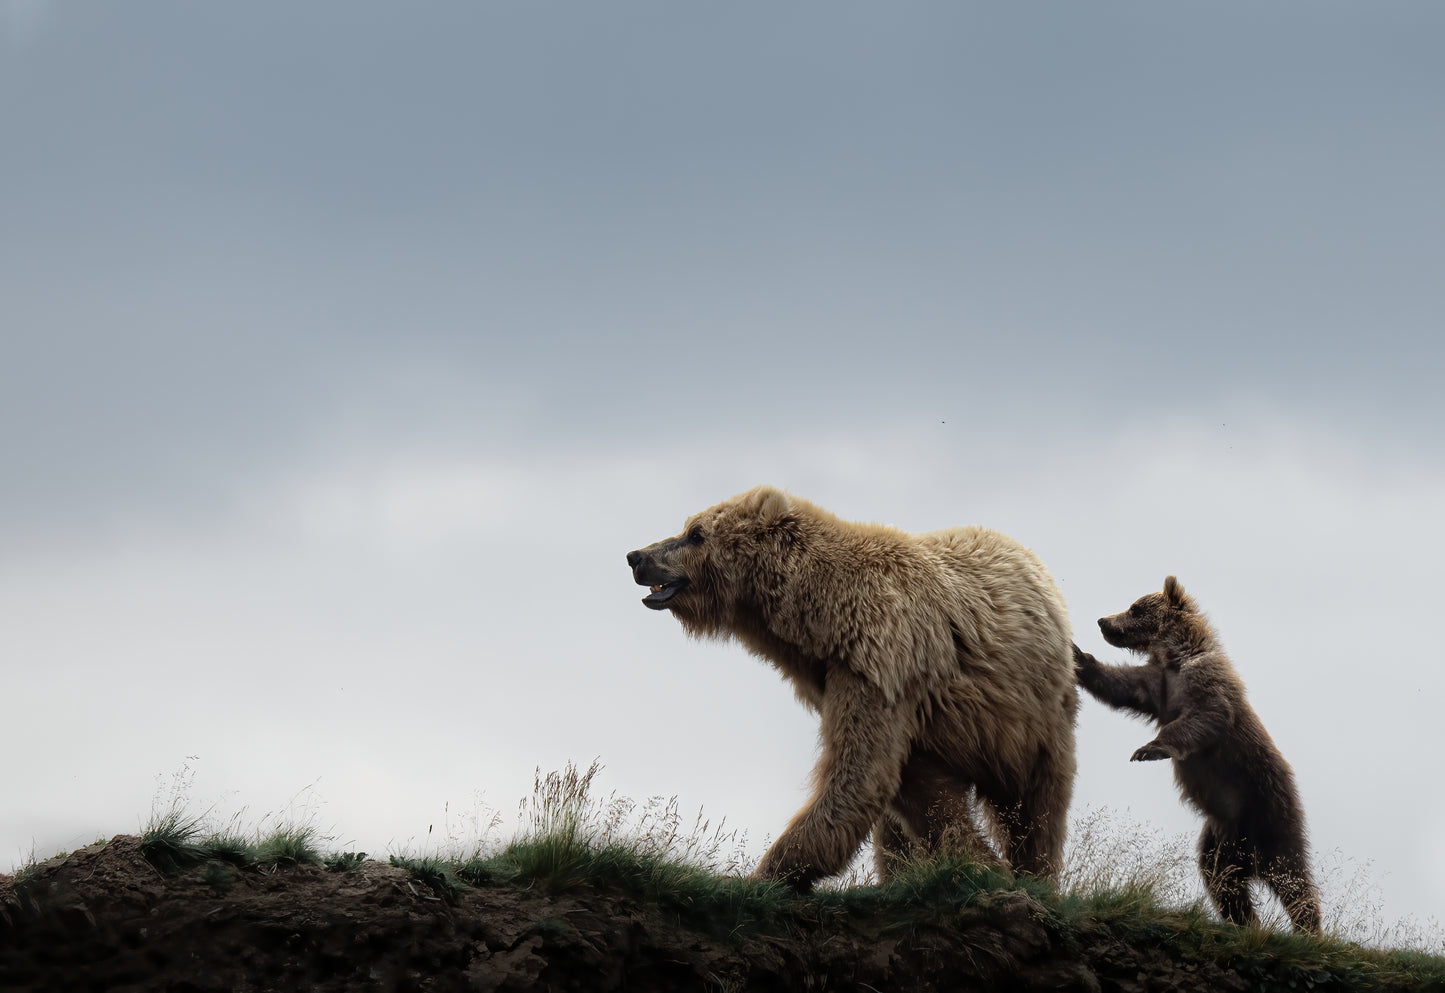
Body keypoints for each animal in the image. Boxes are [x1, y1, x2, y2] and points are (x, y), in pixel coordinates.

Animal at [626, 485, 1079, 889]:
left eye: (695, 532)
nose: (636, 556)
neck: (820, 616)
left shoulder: (880, 664)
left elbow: (858, 773)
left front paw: (761, 874)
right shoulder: (844, 684)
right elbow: (913, 790)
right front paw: (970, 861)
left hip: (1033, 716)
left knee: (1036, 805)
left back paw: (1036, 873)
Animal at [1073, 576, 1321, 932]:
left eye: (1134, 608)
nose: (1103, 621)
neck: (1175, 657)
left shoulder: (1205, 683)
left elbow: (1206, 716)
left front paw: (1148, 749)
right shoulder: (1158, 685)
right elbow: (1121, 685)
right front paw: (1078, 657)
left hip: (1268, 810)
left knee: (1290, 875)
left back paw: (1308, 928)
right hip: (1221, 840)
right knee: (1222, 880)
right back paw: (1242, 921)